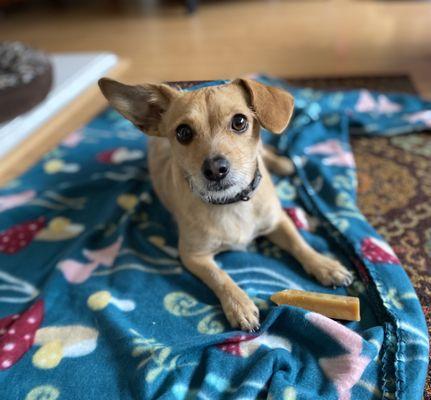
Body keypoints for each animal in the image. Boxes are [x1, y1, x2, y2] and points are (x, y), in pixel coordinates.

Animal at [98, 79, 354, 332]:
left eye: (239, 121)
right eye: (183, 132)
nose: (214, 169)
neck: (232, 203)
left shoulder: (278, 220)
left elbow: (299, 244)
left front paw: (324, 265)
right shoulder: (193, 256)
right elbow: (219, 275)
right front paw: (239, 304)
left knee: (265, 152)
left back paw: (283, 164)